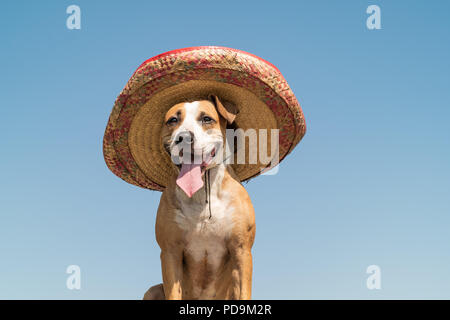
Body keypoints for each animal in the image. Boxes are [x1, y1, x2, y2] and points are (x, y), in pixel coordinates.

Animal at [144, 95, 256, 300]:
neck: (203, 192)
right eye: (173, 120)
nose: (184, 137)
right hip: (152, 290)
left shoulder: (241, 249)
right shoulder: (170, 251)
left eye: (206, 119)